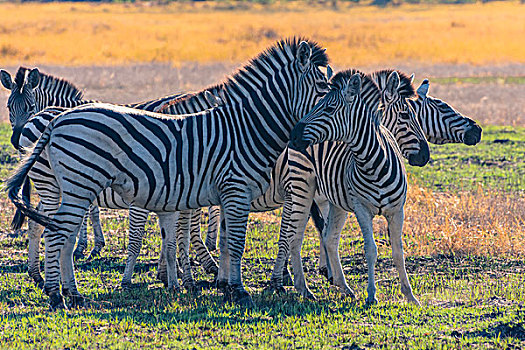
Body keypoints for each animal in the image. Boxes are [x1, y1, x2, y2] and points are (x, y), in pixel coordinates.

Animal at [6, 37, 330, 308]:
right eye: (324, 90)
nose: (299, 141)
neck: (245, 128)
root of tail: (56, 119)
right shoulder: (236, 189)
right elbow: (235, 243)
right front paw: (238, 291)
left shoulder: (227, 194)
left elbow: (225, 242)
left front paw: (225, 286)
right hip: (78, 183)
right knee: (55, 232)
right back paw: (56, 295)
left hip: (73, 186)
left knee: (60, 231)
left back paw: (70, 293)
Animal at [280, 70, 420, 304]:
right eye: (405, 115)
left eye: (328, 109)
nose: (293, 135)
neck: (374, 162)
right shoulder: (361, 208)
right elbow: (370, 249)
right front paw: (371, 295)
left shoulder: (396, 211)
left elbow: (398, 251)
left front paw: (410, 296)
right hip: (302, 185)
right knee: (294, 236)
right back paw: (304, 288)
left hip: (336, 201)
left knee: (330, 238)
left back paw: (344, 287)